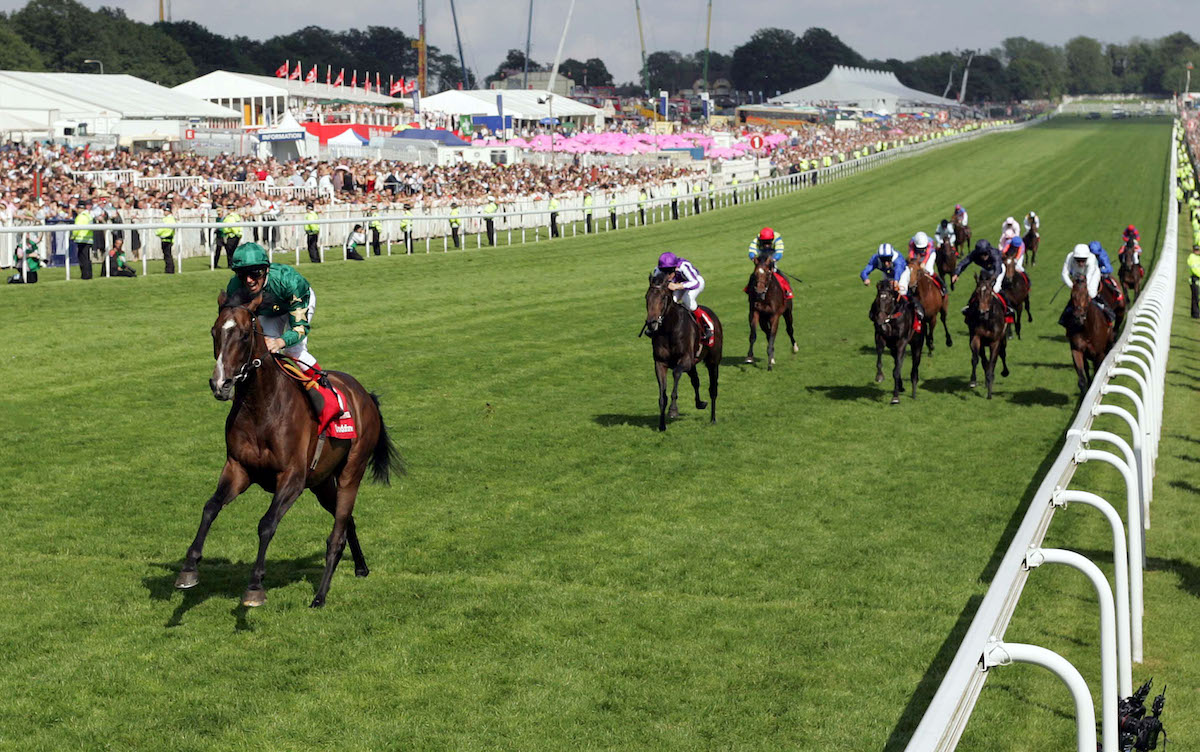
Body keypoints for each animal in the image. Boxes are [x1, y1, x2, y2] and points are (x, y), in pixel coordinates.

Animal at [177, 291, 403, 609]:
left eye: (244, 335)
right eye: (214, 332)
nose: (220, 384)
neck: (261, 408)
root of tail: (365, 395)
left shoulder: (292, 478)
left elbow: (266, 523)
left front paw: (255, 586)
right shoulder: (238, 469)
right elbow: (210, 507)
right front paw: (189, 568)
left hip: (351, 471)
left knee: (337, 533)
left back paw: (320, 595)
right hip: (321, 482)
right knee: (347, 521)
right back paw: (361, 567)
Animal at [648, 274, 720, 429]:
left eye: (663, 297)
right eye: (646, 297)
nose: (651, 324)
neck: (669, 330)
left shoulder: (685, 360)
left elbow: (676, 373)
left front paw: (673, 410)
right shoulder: (660, 363)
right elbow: (662, 396)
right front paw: (662, 425)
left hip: (713, 361)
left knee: (713, 389)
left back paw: (713, 418)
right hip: (693, 364)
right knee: (696, 381)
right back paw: (700, 403)